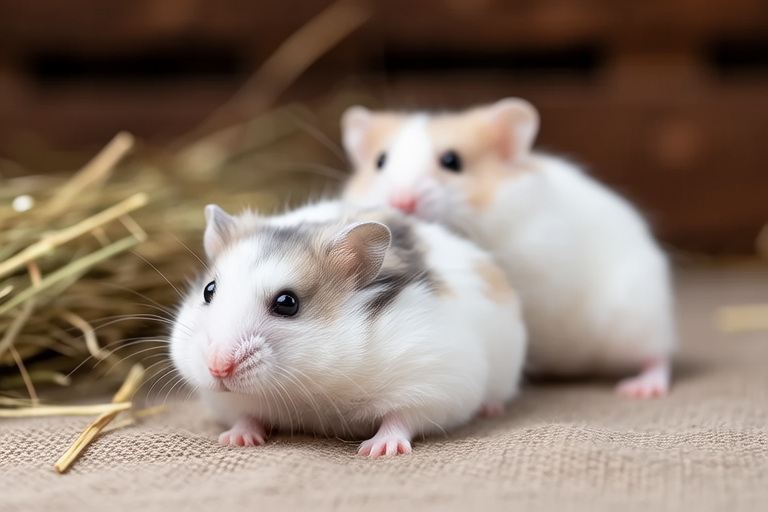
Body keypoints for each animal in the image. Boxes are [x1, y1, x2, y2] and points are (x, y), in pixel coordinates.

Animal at [170, 200, 527, 456]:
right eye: (208, 291)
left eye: (287, 303)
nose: (217, 368)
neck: (310, 386)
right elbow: (246, 415)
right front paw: (235, 439)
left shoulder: (435, 382)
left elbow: (402, 417)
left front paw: (377, 450)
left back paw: (491, 409)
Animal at [340, 98, 676, 398]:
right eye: (380, 162)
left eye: (452, 162)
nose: (401, 202)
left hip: (637, 318)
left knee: (659, 355)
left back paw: (643, 388)